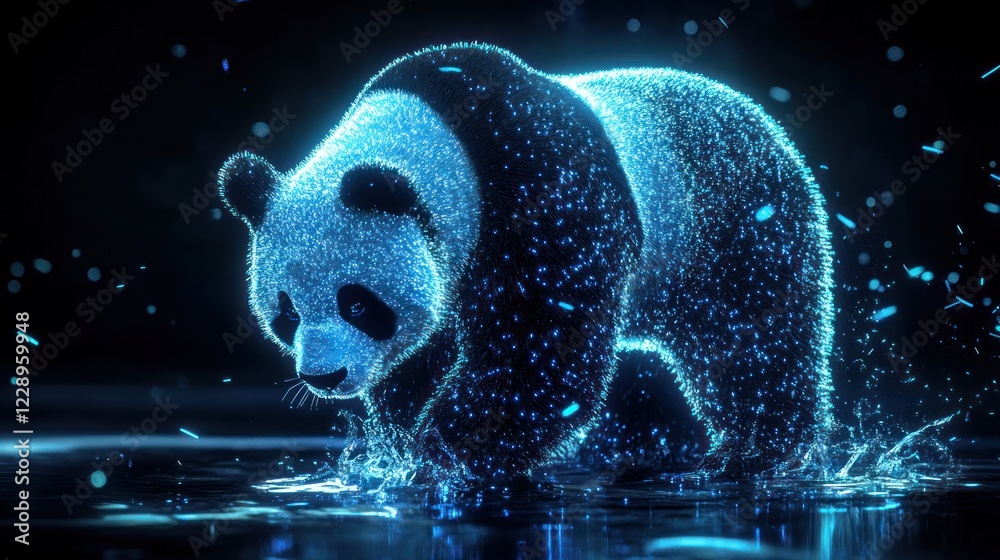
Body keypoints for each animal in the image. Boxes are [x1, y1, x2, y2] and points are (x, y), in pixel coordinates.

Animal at [218, 42, 834, 480]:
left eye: (358, 304)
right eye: (287, 314)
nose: (324, 377)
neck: (443, 137)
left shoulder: (541, 184)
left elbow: (543, 342)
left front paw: (445, 450)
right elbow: (421, 359)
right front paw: (399, 445)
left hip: (732, 226)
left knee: (754, 343)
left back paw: (754, 450)